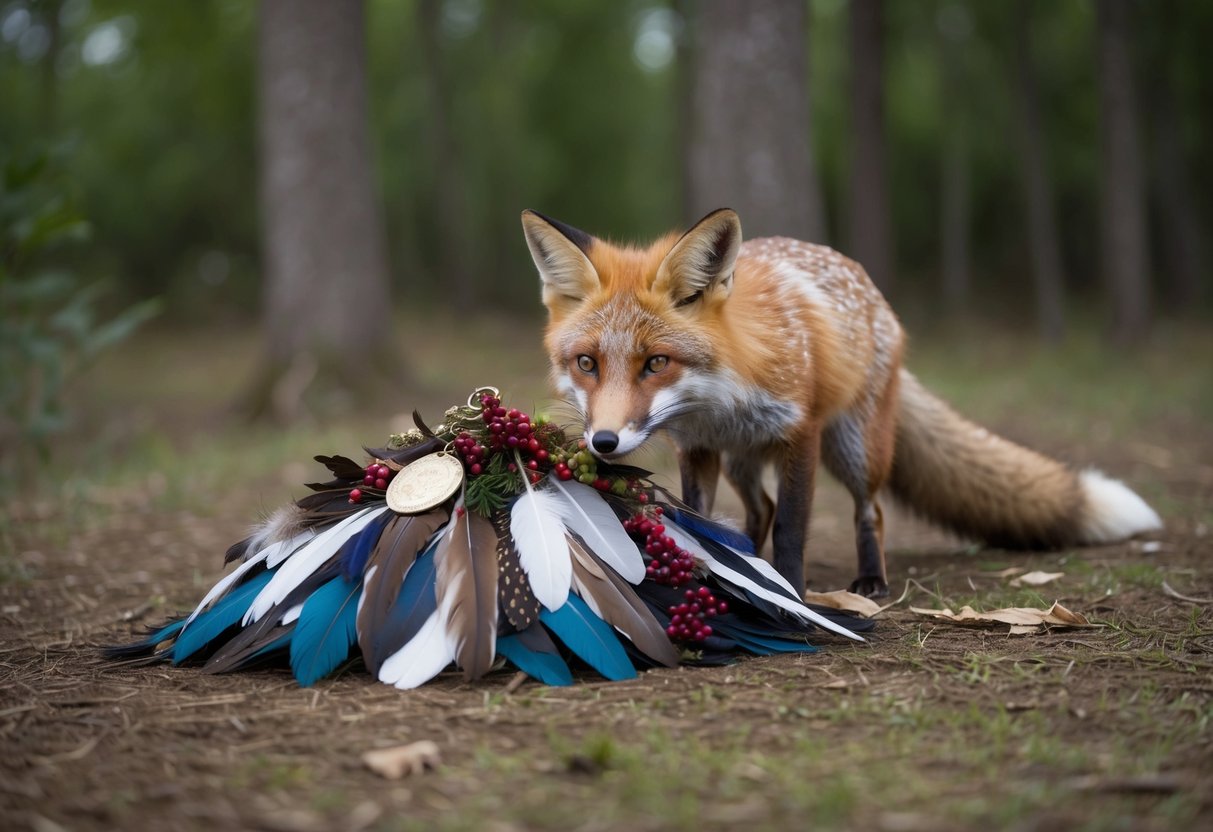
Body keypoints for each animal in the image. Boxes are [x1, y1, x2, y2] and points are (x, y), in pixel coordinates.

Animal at [520, 207, 1162, 598]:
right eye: (587, 364)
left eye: (656, 363)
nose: (603, 442)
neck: (720, 397)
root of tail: (876, 294)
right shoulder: (699, 448)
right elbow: (702, 522)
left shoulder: (799, 435)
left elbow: (794, 528)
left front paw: (792, 592)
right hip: (743, 461)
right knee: (759, 511)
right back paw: (749, 555)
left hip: (853, 449)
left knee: (867, 512)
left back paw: (870, 580)